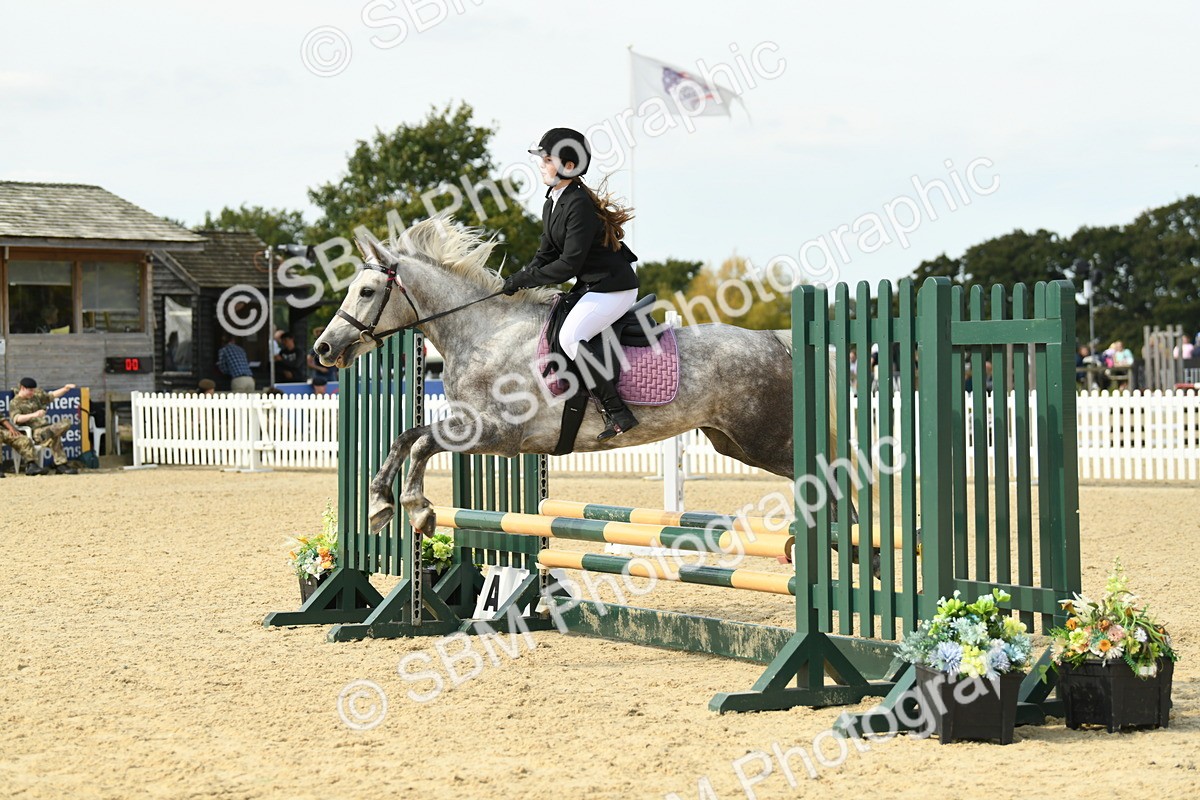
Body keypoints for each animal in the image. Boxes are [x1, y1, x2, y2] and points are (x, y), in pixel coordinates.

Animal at [314, 217, 816, 538]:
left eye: (366, 291)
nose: (324, 348)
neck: (485, 332)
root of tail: (774, 340)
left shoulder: (497, 434)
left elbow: (421, 444)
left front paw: (417, 511)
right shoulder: (469, 424)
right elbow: (406, 437)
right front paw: (379, 506)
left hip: (765, 441)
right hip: (731, 441)